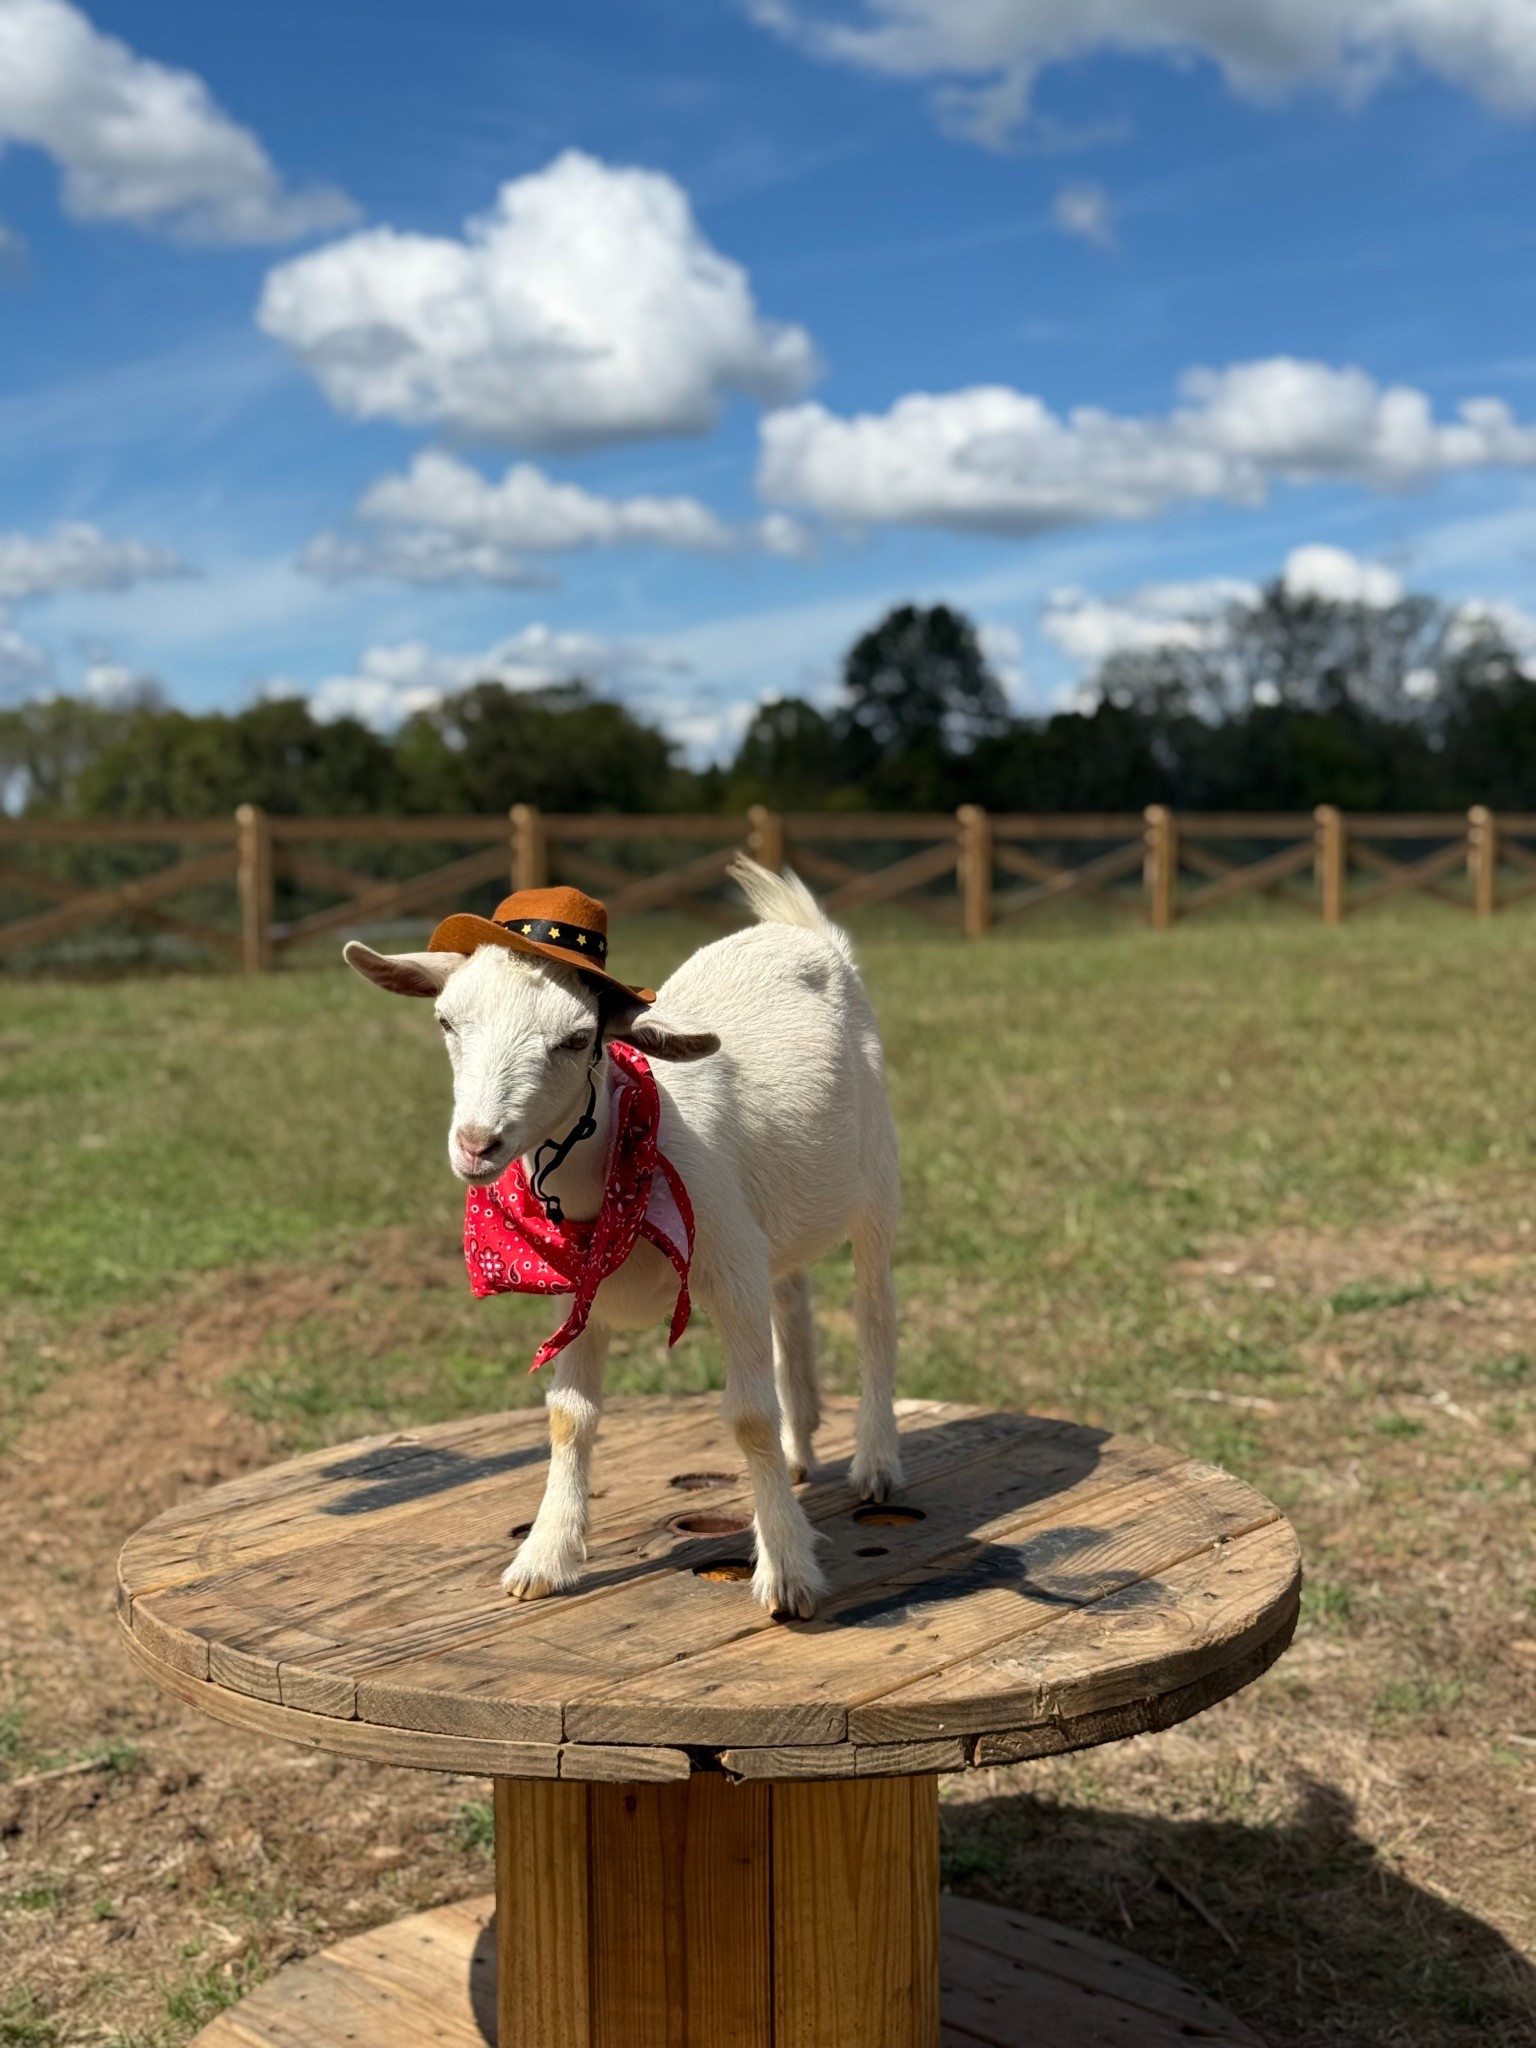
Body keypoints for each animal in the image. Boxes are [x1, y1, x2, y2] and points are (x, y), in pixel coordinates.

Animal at [343, 857, 902, 1620]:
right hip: (780, 1213)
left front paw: (788, 1572)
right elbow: (568, 1417)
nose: (476, 1144)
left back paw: (877, 1461)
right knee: (792, 1292)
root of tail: (802, 931)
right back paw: (800, 1443)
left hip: (876, 1178)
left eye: (577, 1039)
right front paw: (544, 1558)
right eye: (445, 1021)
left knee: (875, 1311)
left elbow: (748, 1416)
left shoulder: (730, 1272)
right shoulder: (579, 1297)